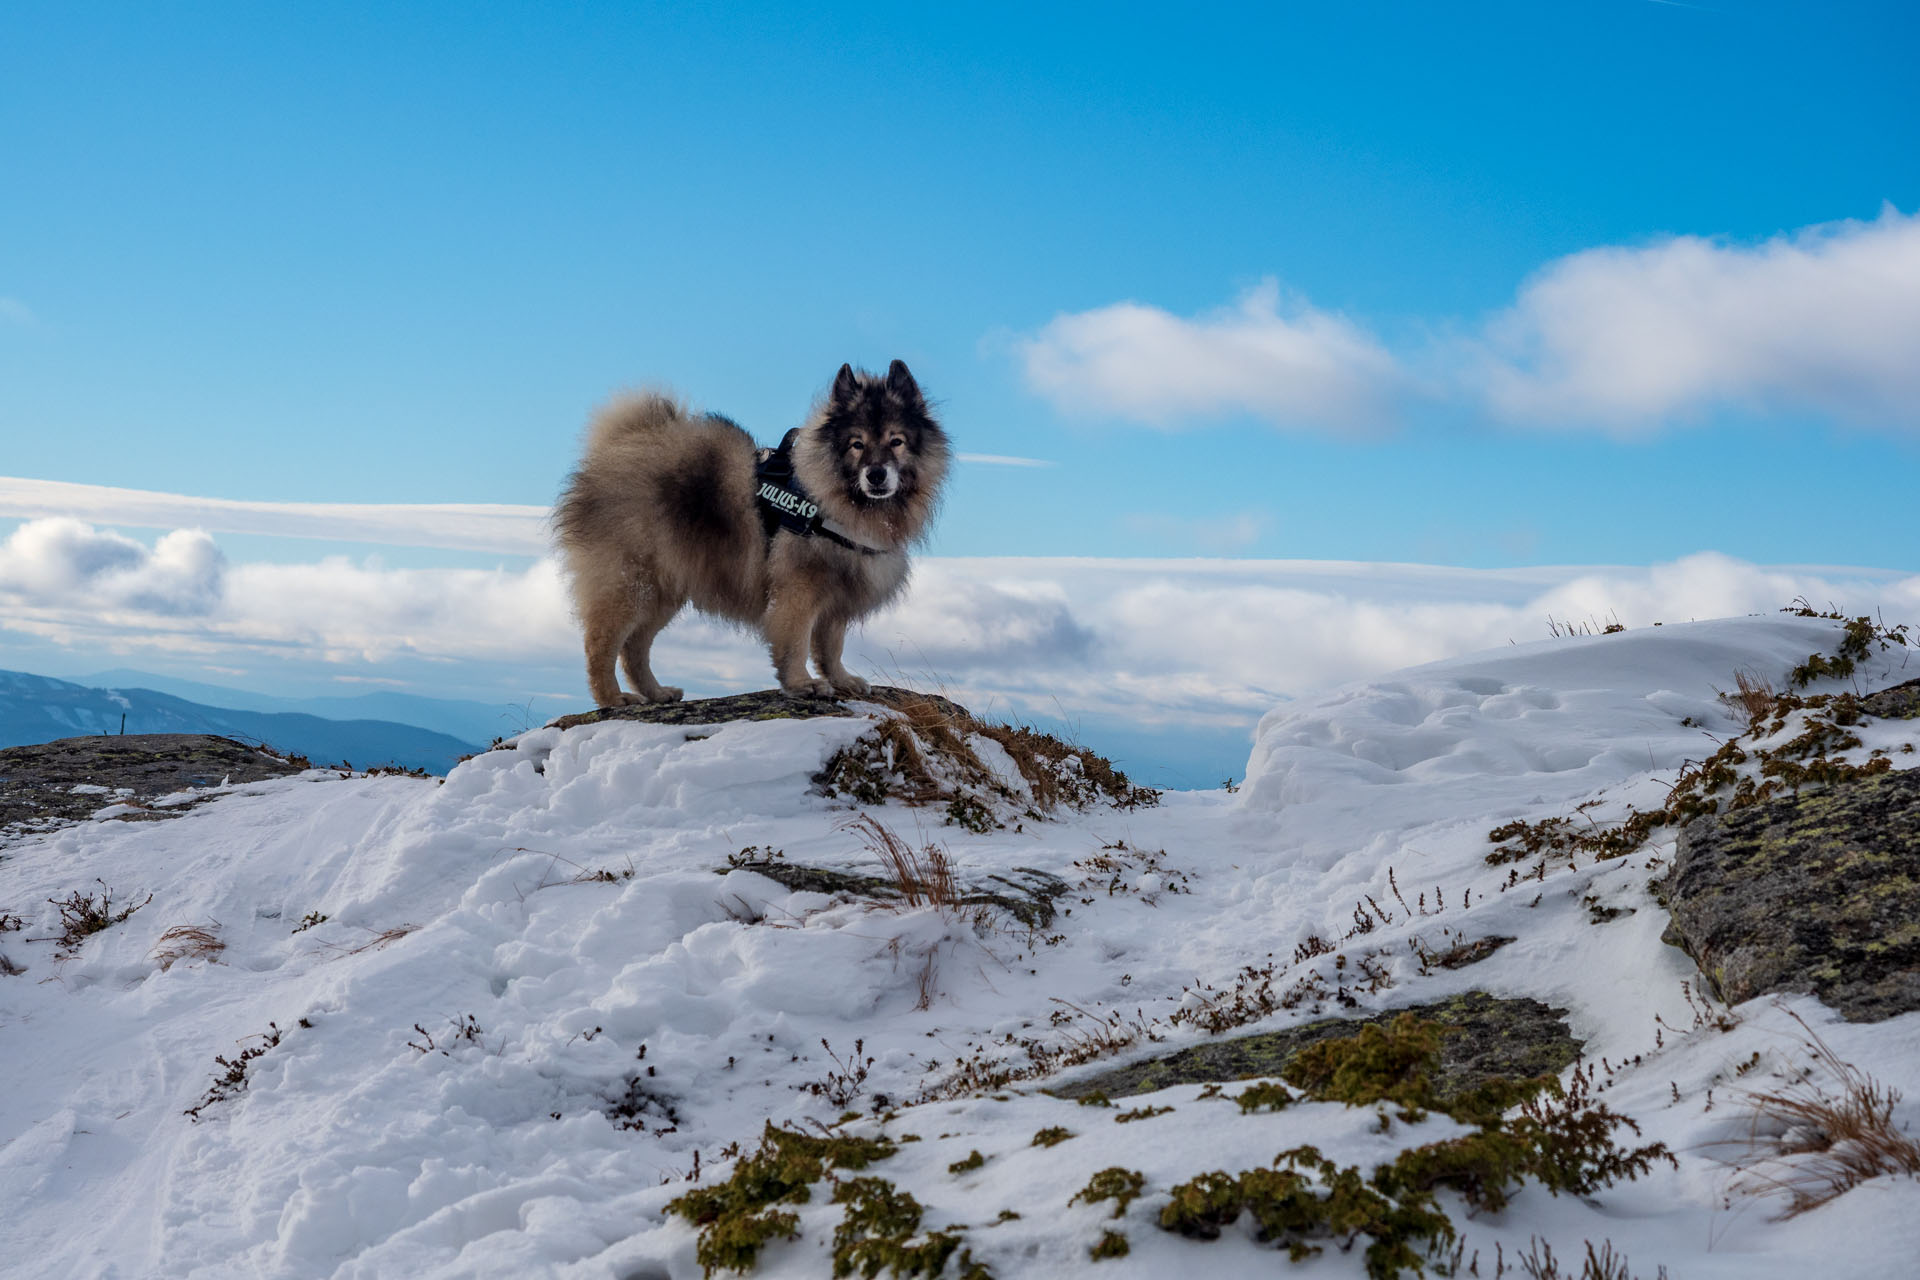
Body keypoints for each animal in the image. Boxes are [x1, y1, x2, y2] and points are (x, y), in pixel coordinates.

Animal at [552, 360, 948, 706]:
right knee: (601, 644)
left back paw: (656, 692)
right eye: (857, 444)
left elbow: (831, 647)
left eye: (896, 441)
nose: (876, 475)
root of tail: (616, 447)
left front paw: (840, 679)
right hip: (632, 585)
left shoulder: (836, 596)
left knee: (635, 648)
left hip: (664, 590)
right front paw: (802, 684)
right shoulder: (797, 591)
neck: (834, 498)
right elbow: (796, 641)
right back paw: (611, 698)